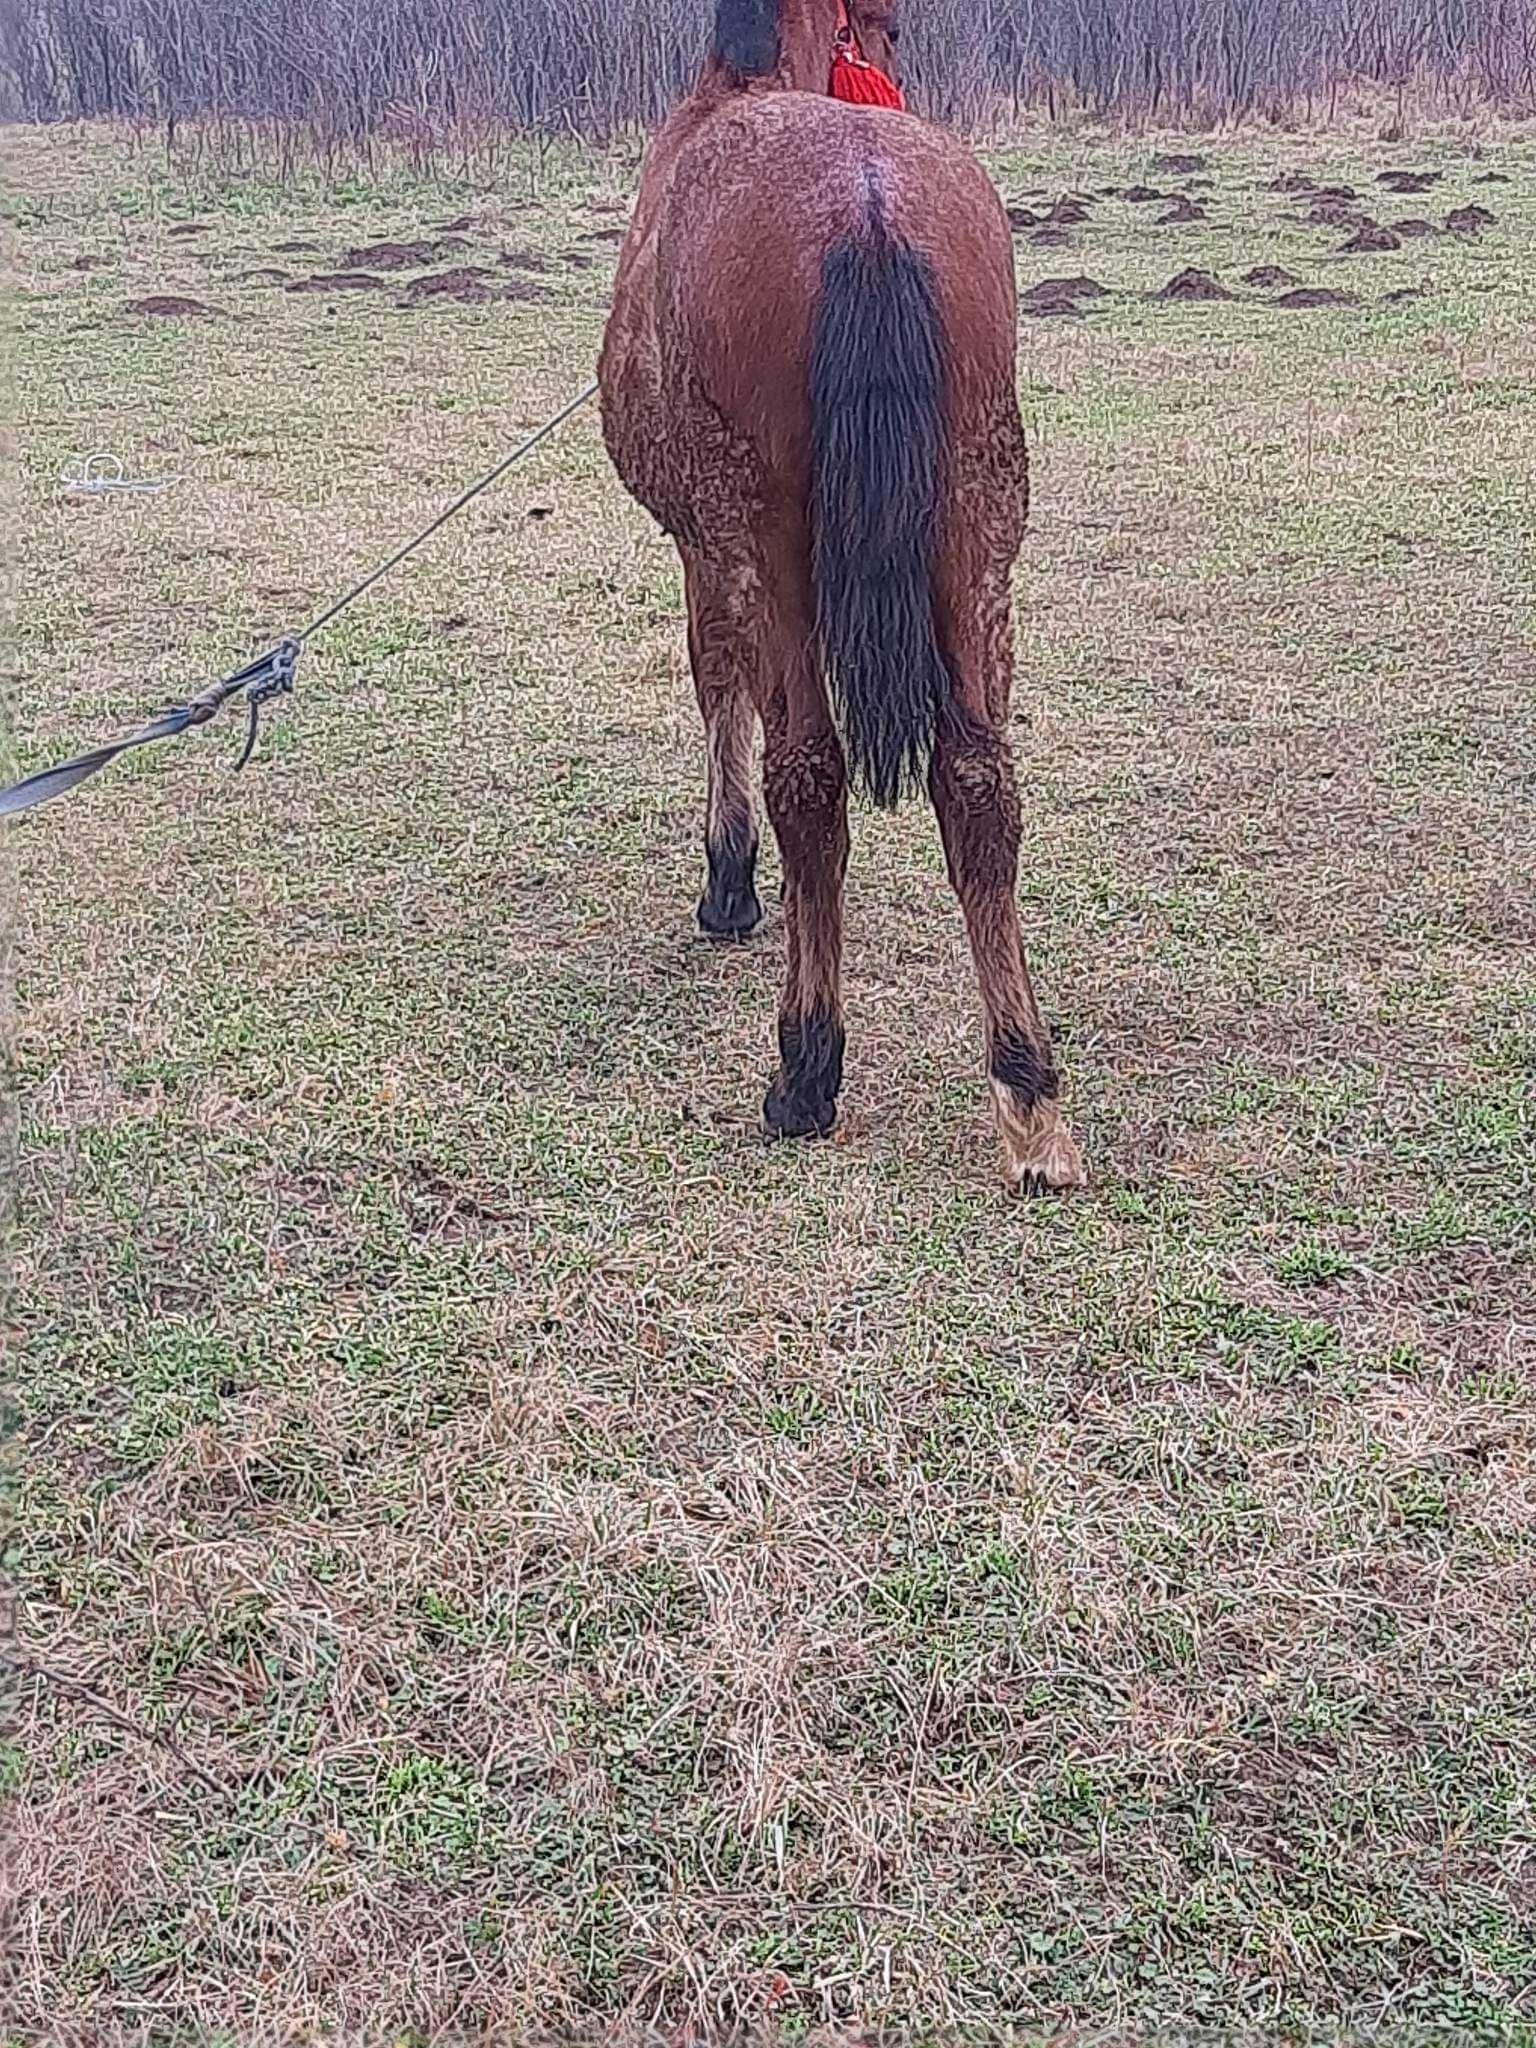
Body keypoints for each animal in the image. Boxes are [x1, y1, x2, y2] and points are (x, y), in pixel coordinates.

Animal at [593, 0, 1089, 1196]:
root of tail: (866, 203)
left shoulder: (706, 546)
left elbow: (714, 684)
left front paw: (727, 880)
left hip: (776, 547)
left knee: (811, 782)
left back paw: (806, 1067)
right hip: (976, 532)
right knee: (980, 787)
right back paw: (1027, 1086)